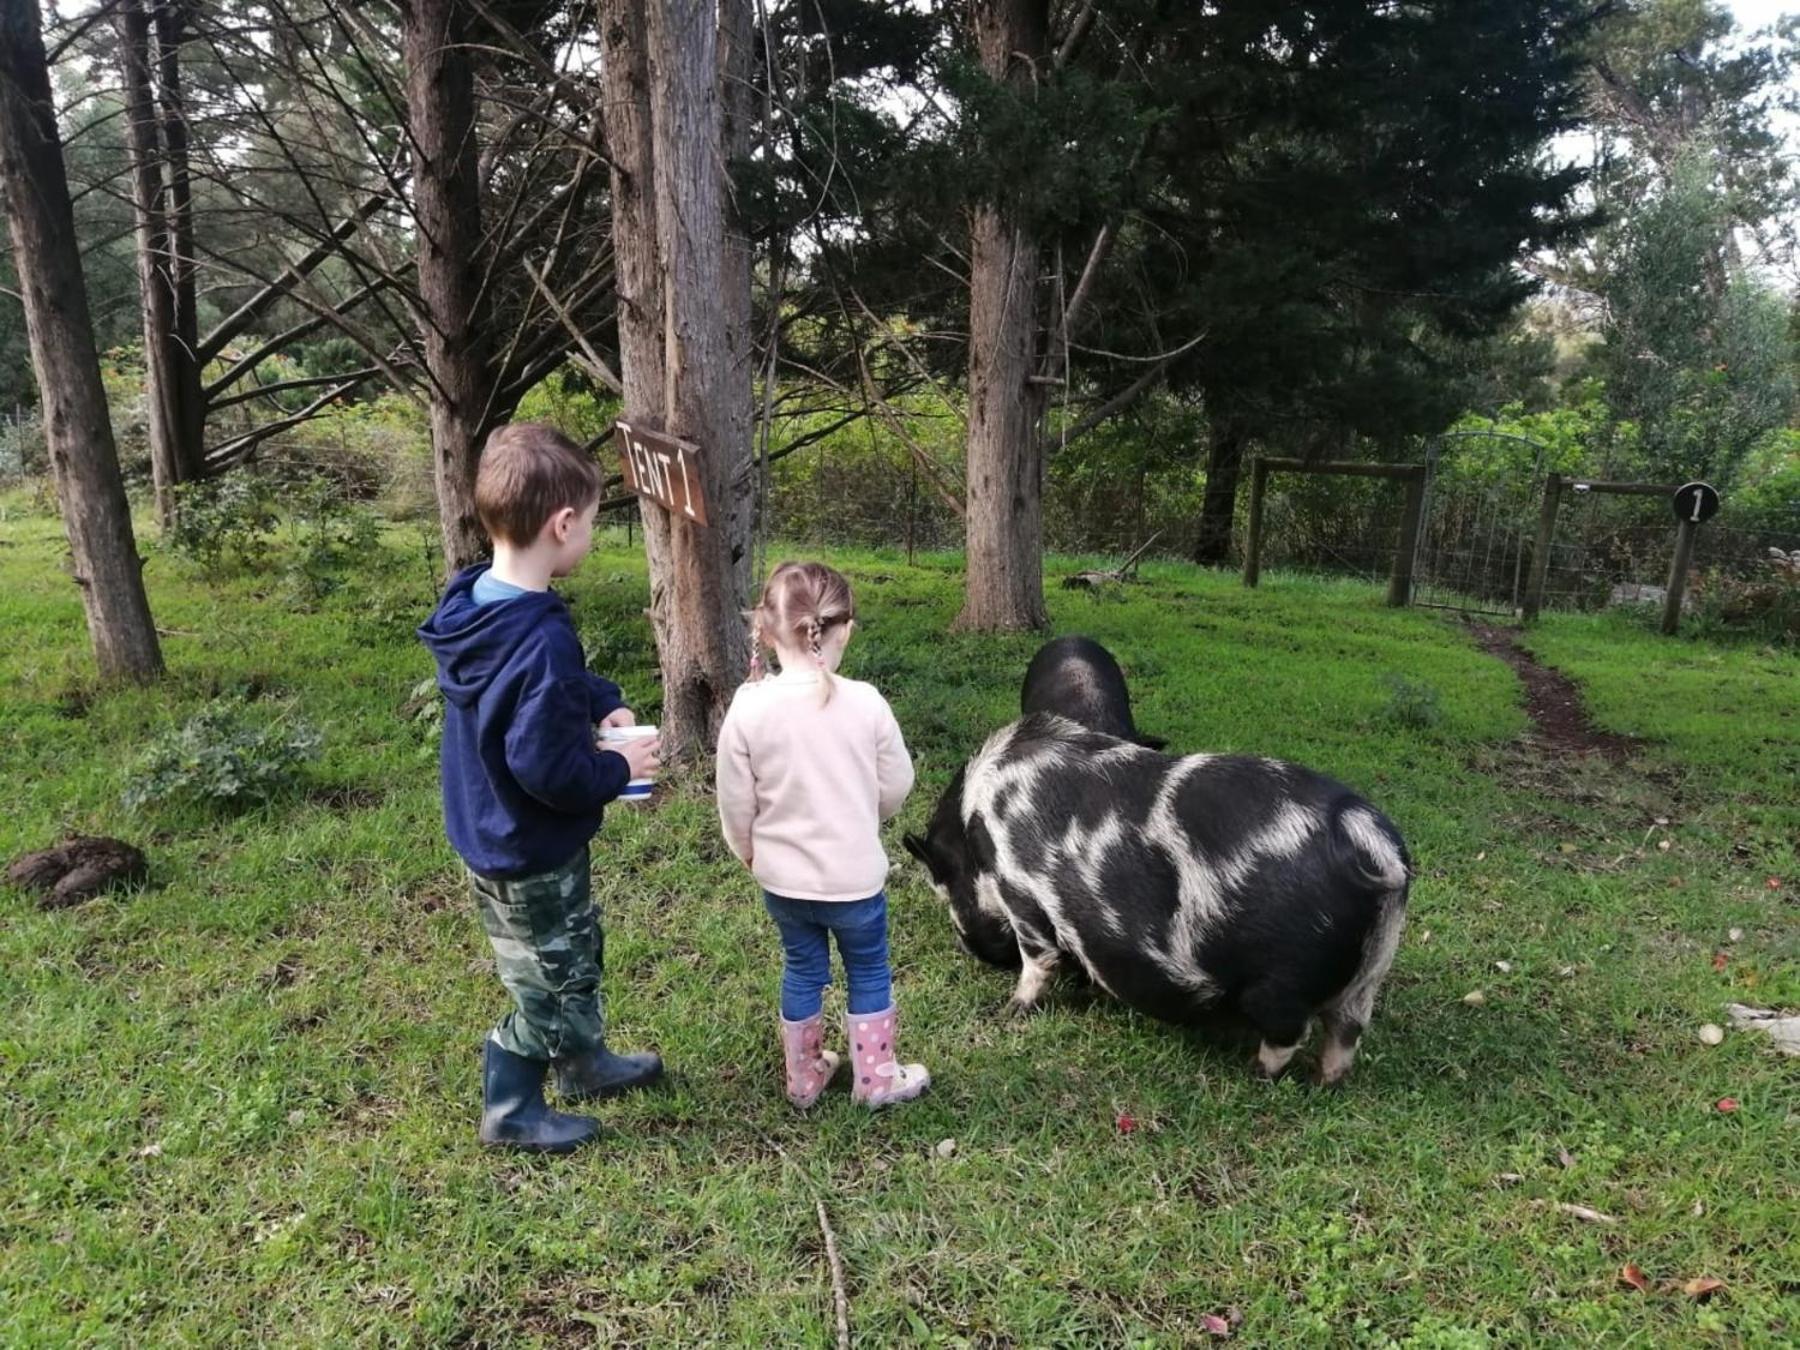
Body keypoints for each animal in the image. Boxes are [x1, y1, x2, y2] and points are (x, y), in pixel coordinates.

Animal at [907, 720, 1411, 1087]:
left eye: (943, 887)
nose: (969, 950)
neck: (976, 826)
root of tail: (1371, 842)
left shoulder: (1021, 891)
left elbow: (1038, 958)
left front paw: (1012, 1010)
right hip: (1369, 974)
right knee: (1346, 1033)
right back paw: (1326, 1082)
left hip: (1281, 979)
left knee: (1291, 1032)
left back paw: (1256, 1075)